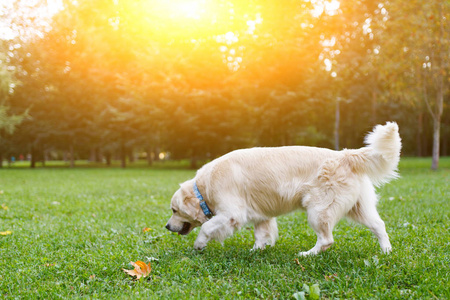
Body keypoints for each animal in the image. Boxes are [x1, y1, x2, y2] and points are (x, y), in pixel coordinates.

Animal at [165, 122, 400, 255]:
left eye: (174, 210)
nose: (167, 226)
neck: (204, 188)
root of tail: (345, 154)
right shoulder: (260, 215)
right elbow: (261, 234)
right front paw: (256, 251)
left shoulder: (232, 213)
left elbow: (206, 227)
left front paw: (199, 245)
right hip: (358, 208)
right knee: (379, 225)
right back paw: (386, 251)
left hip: (318, 210)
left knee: (326, 240)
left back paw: (307, 254)